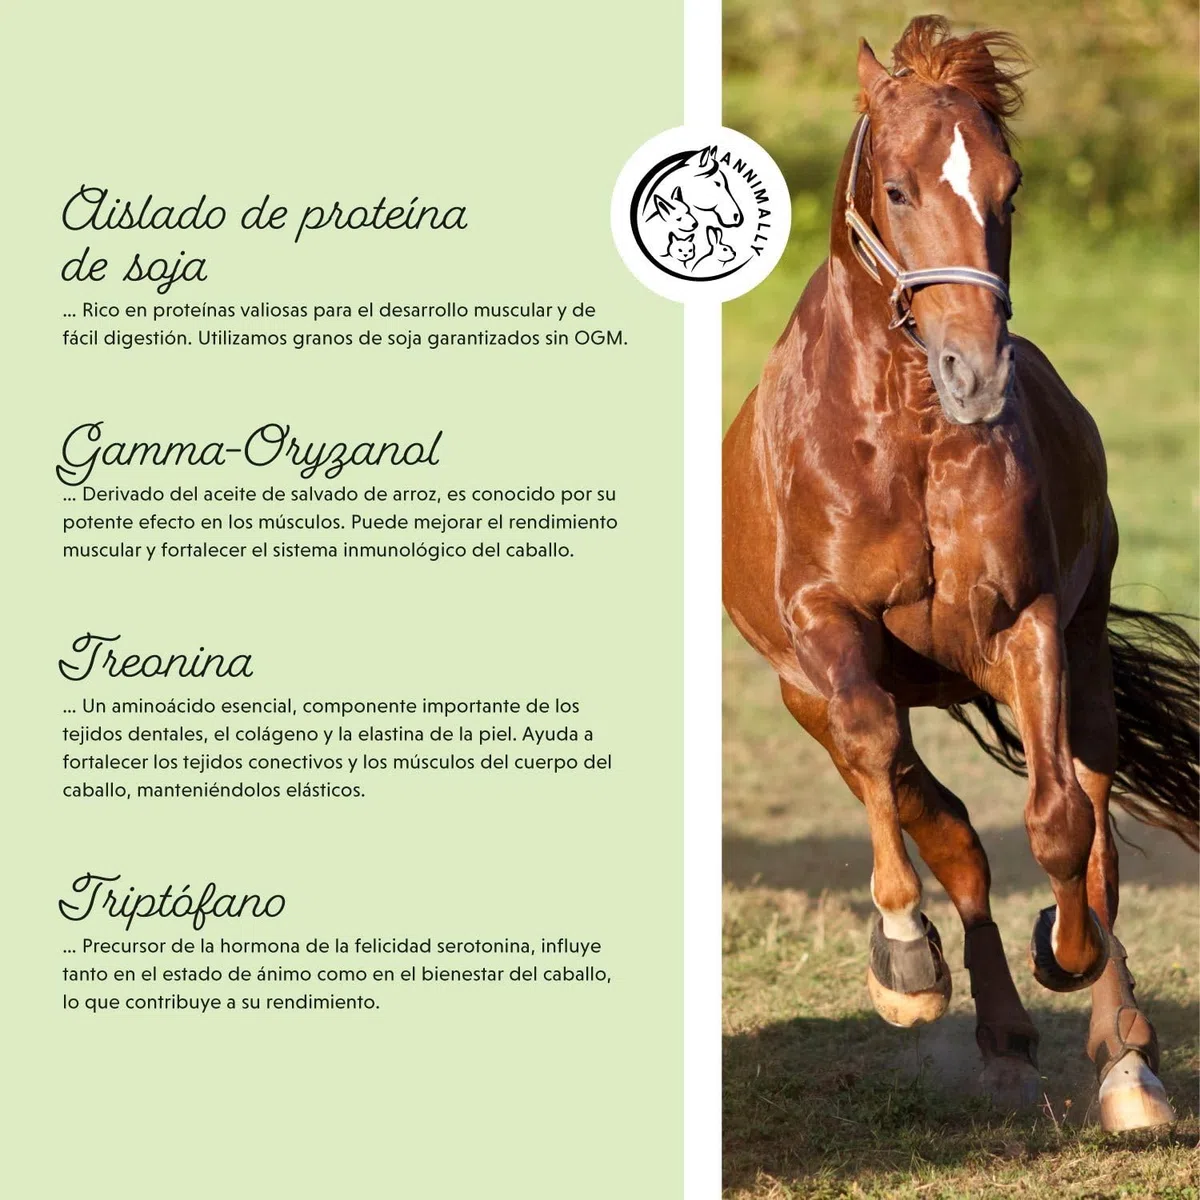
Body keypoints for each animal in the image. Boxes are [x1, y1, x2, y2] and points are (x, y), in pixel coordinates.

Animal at [722, 15, 1198, 1132]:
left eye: (1009, 187)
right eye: (897, 189)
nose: (976, 375)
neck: (905, 432)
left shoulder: (1027, 624)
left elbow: (1063, 824)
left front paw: (1067, 960)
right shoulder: (823, 633)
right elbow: (890, 769)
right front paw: (903, 964)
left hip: (1079, 660)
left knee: (1090, 824)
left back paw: (1123, 1056)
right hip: (812, 692)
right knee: (941, 829)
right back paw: (1000, 1040)